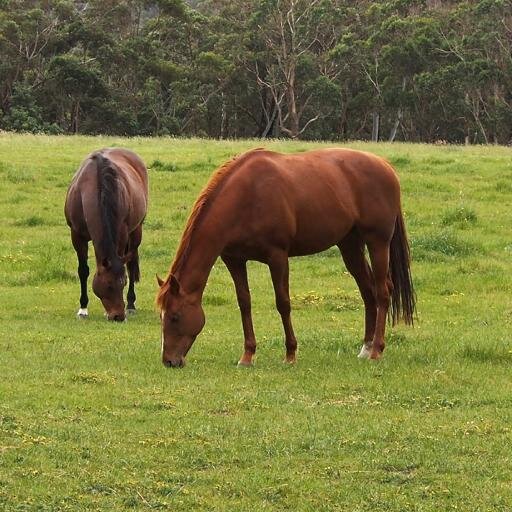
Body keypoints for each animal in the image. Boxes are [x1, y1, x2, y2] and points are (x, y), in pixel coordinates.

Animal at [64, 148, 148, 322]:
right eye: (109, 285)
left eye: (123, 283)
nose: (118, 316)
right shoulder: (77, 236)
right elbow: (83, 270)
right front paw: (83, 309)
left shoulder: (122, 234)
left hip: (136, 230)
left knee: (131, 265)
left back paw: (131, 304)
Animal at [157, 146, 416, 366]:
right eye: (162, 316)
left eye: (175, 317)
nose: (169, 361)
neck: (246, 196)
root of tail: (385, 166)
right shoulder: (235, 260)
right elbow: (244, 303)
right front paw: (247, 355)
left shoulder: (278, 257)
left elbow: (283, 303)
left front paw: (290, 354)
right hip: (350, 245)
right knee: (368, 291)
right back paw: (365, 347)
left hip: (377, 242)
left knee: (383, 292)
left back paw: (376, 350)